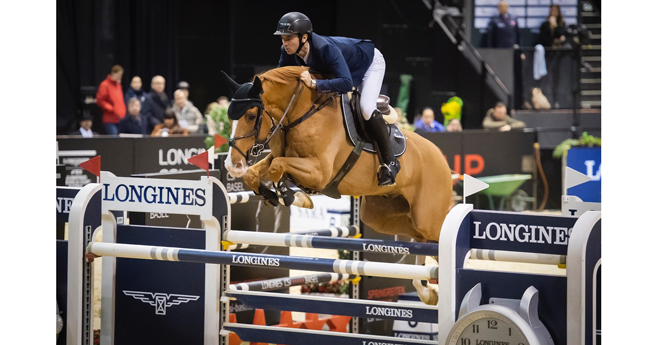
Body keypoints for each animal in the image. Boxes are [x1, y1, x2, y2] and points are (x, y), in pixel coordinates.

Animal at [222, 66, 454, 302]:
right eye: (229, 117)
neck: (301, 115)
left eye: (251, 116)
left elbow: (278, 168)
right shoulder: (280, 157)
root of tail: (441, 158)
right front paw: (281, 195)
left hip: (426, 217)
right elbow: (257, 172)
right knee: (421, 239)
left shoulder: (319, 173)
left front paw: (291, 195)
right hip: (380, 215)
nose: (232, 165)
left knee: (436, 237)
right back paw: (426, 291)